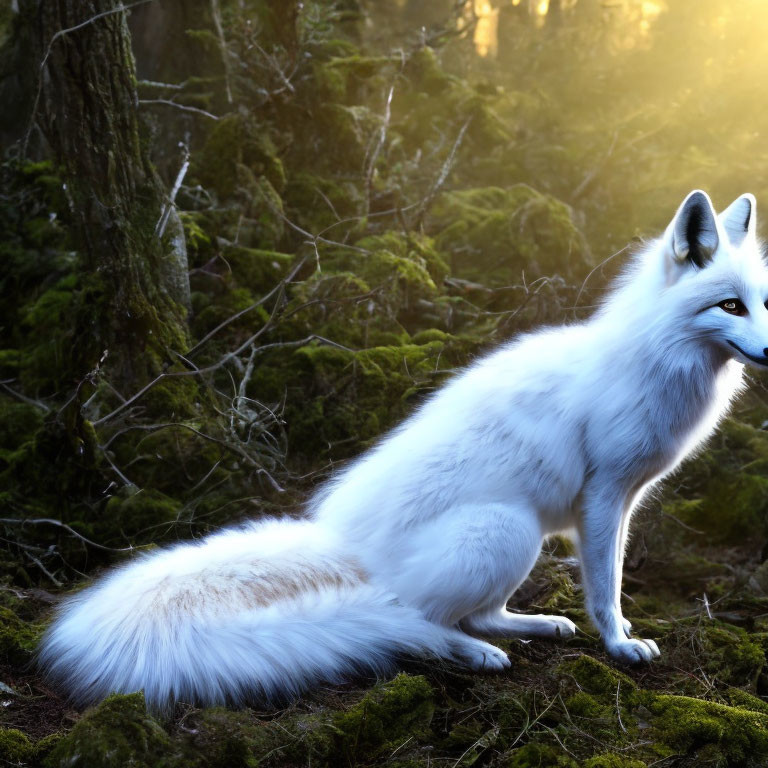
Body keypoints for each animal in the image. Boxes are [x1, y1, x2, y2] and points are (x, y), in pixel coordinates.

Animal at [39, 189, 764, 712]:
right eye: (730, 305)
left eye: (762, 303)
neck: (654, 359)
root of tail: (346, 541)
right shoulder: (606, 496)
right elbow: (607, 588)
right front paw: (618, 643)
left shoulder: (622, 499)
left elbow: (606, 582)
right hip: (505, 531)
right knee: (413, 618)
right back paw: (470, 654)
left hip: (518, 540)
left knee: (479, 614)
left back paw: (533, 626)